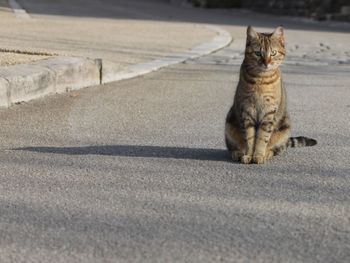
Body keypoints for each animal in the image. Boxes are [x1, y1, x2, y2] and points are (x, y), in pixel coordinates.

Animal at [224, 25, 318, 165]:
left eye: (273, 53)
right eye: (258, 53)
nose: (266, 63)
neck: (261, 79)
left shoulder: (269, 113)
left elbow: (262, 138)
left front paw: (258, 155)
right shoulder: (247, 111)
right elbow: (250, 138)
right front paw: (248, 155)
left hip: (285, 126)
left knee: (276, 149)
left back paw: (267, 154)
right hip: (229, 123)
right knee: (232, 148)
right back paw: (238, 153)